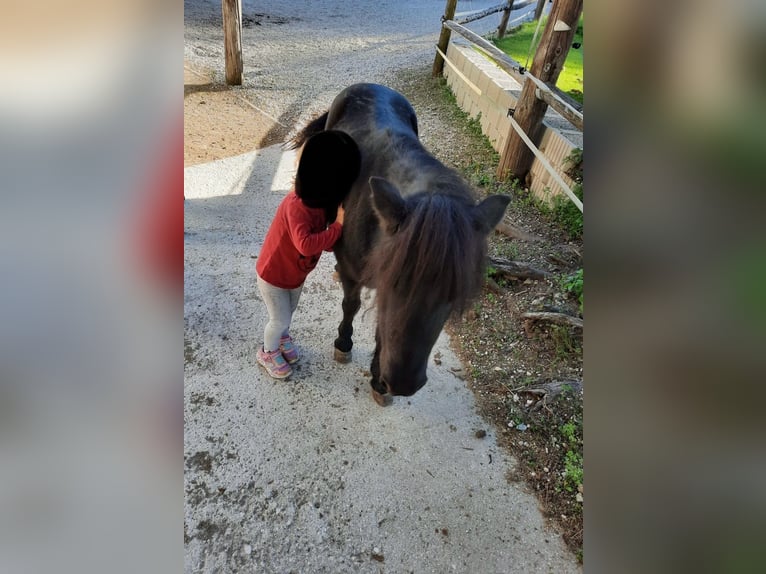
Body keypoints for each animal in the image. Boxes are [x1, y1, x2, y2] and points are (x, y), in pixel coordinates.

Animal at [294, 84, 510, 410]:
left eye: (454, 294)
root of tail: (371, 85)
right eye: (395, 282)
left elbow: (383, 328)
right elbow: (351, 305)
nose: (403, 383)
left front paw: (377, 380)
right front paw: (344, 344)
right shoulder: (354, 273)